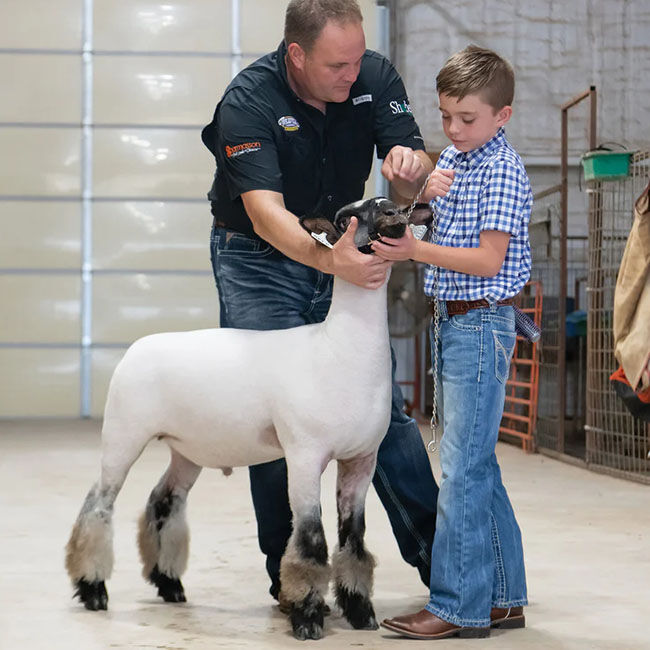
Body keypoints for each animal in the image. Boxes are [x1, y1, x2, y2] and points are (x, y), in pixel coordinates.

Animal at [64, 197, 433, 641]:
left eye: (390, 206)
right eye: (347, 217)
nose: (390, 211)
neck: (338, 348)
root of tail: (137, 347)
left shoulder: (362, 459)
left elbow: (353, 540)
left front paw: (360, 611)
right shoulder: (304, 455)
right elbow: (310, 540)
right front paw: (307, 617)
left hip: (188, 450)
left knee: (164, 502)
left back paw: (169, 584)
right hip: (123, 434)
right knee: (97, 506)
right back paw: (93, 590)